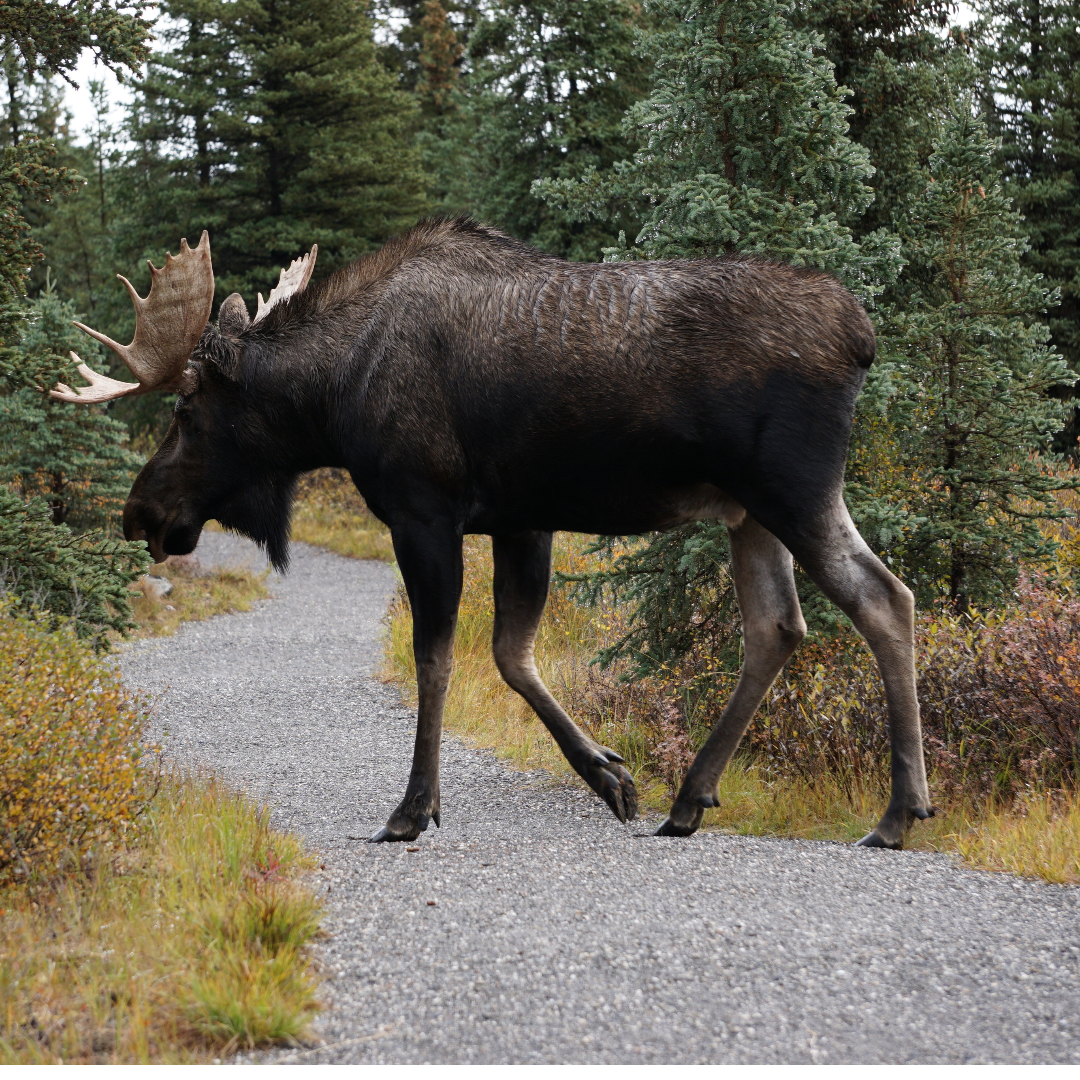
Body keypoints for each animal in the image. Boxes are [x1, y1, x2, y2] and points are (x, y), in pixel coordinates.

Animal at [50, 217, 933, 842]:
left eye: (186, 410)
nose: (139, 513)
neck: (332, 399)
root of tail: (862, 338)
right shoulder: (521, 520)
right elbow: (511, 654)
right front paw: (609, 775)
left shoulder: (424, 510)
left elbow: (436, 658)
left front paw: (412, 809)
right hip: (748, 513)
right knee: (777, 626)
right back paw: (688, 798)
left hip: (793, 489)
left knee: (886, 599)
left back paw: (897, 813)